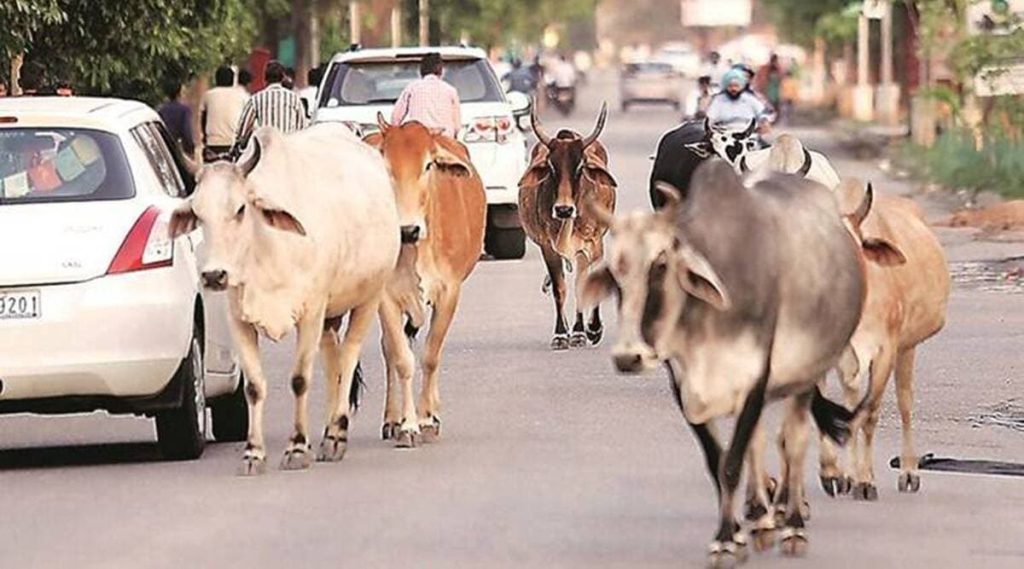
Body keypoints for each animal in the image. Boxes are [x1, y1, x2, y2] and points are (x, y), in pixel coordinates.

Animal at [169, 124, 401, 475]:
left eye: (240, 209)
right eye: (198, 213)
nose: (213, 275)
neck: (268, 249)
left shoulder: (311, 313)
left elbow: (300, 380)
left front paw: (297, 448)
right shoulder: (238, 319)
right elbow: (253, 386)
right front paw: (253, 453)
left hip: (370, 296)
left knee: (348, 358)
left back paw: (336, 434)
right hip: (331, 316)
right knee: (333, 362)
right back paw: (328, 433)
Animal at [364, 115, 487, 447]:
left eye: (428, 165)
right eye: (385, 163)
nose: (407, 229)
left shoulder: (450, 292)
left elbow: (431, 356)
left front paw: (427, 419)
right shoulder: (386, 297)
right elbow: (402, 359)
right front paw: (407, 425)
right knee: (389, 350)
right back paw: (392, 419)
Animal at [519, 102, 617, 350]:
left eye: (580, 167)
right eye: (551, 167)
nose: (564, 209)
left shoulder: (591, 244)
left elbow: (583, 284)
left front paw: (587, 330)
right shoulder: (548, 247)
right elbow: (559, 289)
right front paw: (561, 333)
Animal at [581, 161, 881, 567]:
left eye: (660, 264)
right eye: (614, 274)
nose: (629, 357)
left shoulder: (756, 375)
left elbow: (732, 463)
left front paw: (726, 539)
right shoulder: (685, 384)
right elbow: (718, 460)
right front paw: (735, 533)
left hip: (807, 373)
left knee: (794, 440)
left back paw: (792, 524)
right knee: (760, 442)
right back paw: (762, 517)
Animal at [818, 180, 950, 500]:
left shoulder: (885, 351)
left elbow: (870, 414)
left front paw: (866, 482)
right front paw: (836, 475)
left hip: (907, 347)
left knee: (904, 404)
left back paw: (909, 472)